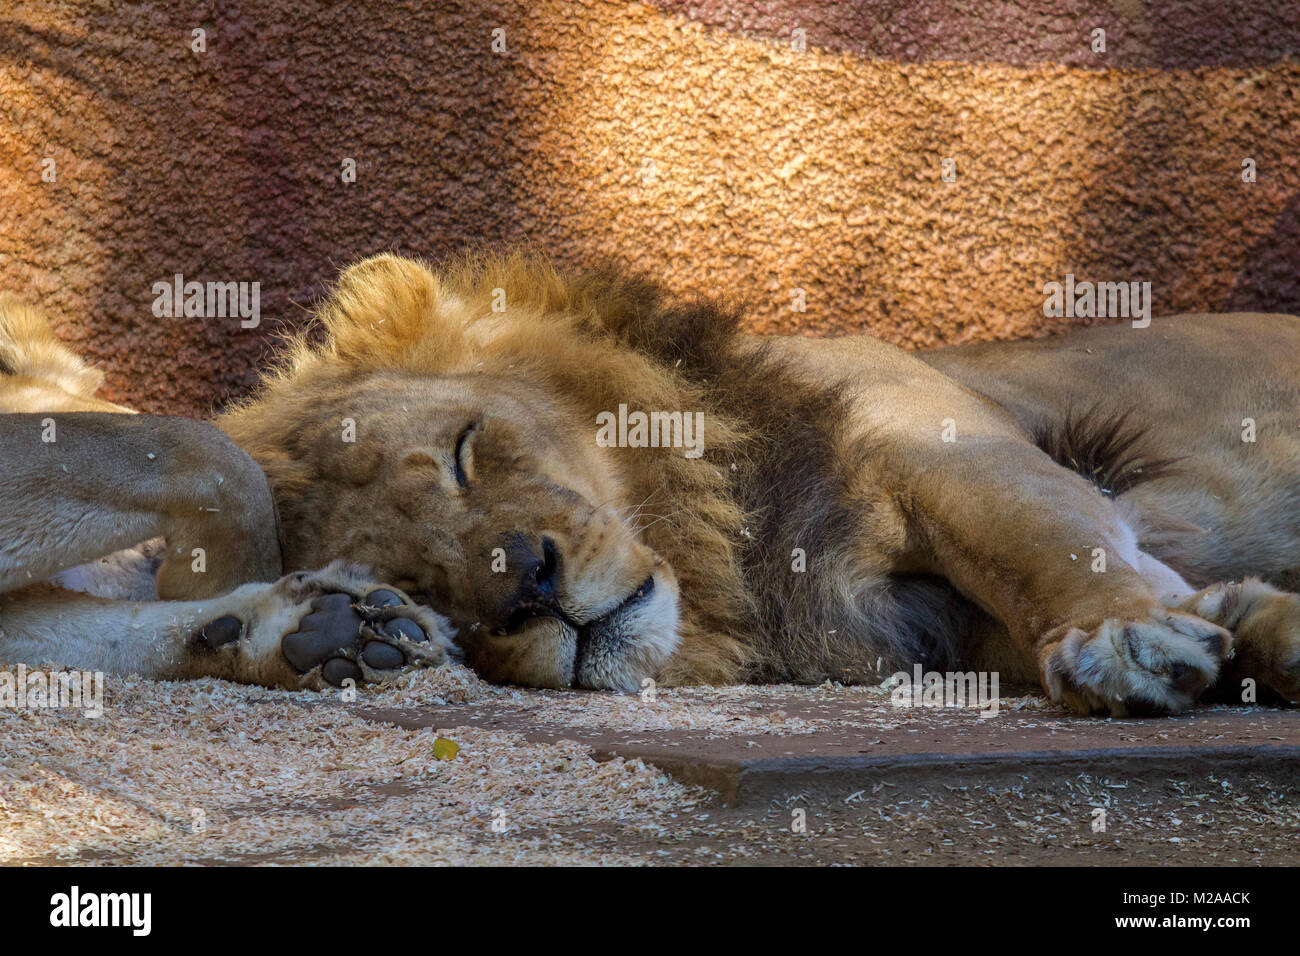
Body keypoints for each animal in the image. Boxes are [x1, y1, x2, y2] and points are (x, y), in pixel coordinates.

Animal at [2, 254, 1300, 717]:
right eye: (413, 579)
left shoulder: (932, 436)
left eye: (466, 449)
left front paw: (1131, 635)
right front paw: (1242, 626)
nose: (530, 585)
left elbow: (1048, 534)